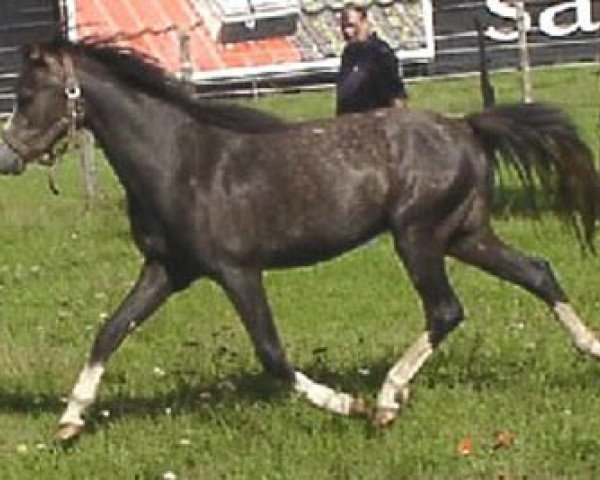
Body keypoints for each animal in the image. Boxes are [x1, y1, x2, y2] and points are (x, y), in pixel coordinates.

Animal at [1, 38, 600, 442]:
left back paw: (386, 401)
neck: (180, 163)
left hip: (419, 235)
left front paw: (348, 406)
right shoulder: (167, 270)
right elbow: (110, 330)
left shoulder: (237, 270)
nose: (8, 158)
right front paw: (69, 421)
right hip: (465, 234)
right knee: (538, 271)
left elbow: (271, 353)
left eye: (27, 95)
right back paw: (591, 349)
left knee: (446, 309)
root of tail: (467, 126)